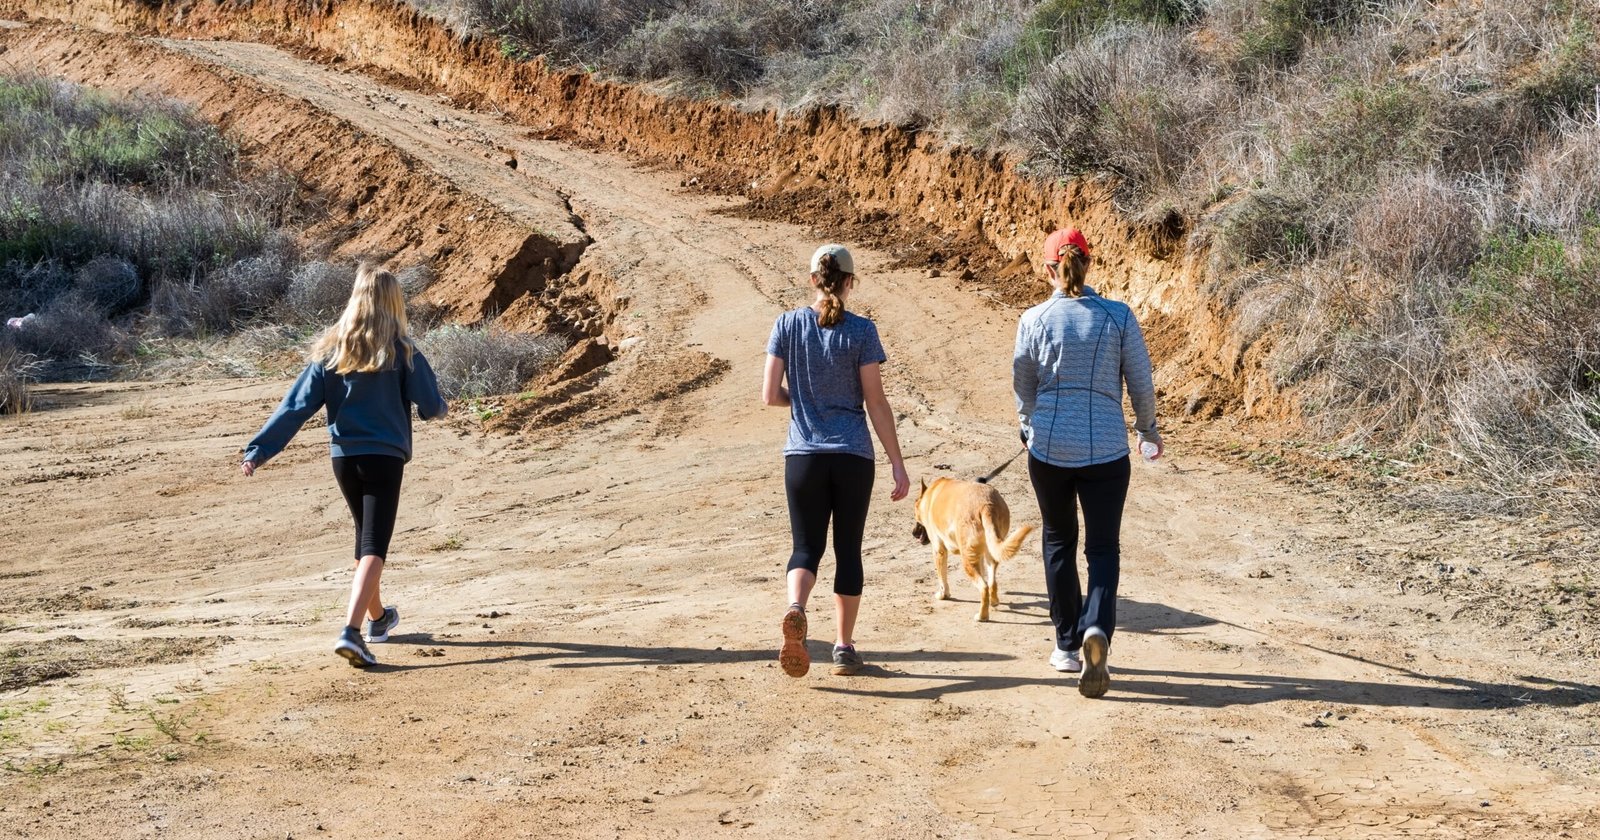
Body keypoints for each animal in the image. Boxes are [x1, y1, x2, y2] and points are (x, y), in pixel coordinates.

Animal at [915, 473, 1036, 617]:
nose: (913, 533)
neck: (930, 495)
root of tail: (986, 505)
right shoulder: (980, 554)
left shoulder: (939, 551)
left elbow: (942, 577)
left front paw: (943, 595)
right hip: (989, 553)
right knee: (991, 582)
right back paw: (993, 601)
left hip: (967, 560)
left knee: (984, 586)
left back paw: (982, 616)